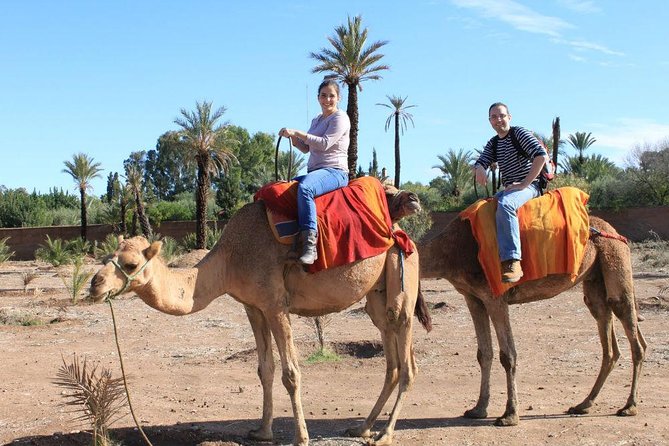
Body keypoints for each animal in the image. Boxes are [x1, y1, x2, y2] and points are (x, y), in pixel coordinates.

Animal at [88, 184, 430, 446]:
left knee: (408, 362)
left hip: (402, 278)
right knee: (391, 360)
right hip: (377, 296)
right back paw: (362, 427)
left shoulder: (276, 304)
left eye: (131, 264)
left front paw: (301, 437)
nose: (94, 284)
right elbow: (265, 369)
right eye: (106, 258)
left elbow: (290, 373)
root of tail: (402, 231)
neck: (230, 259)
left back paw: (385, 434)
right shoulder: (253, 306)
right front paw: (262, 431)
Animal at [420, 214, 644, 426]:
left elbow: (508, 355)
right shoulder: (473, 298)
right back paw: (583, 404)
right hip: (594, 280)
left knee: (631, 330)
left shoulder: (494, 297)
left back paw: (629, 406)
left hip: (615, 258)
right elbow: (484, 354)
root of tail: (615, 233)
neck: (451, 251)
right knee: (608, 336)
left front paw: (509, 415)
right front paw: (478, 409)